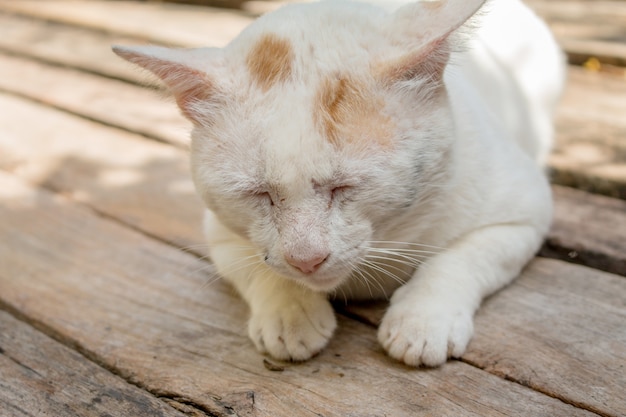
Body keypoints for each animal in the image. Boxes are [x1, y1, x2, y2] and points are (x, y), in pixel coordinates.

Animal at [113, 0, 564, 364]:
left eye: (345, 187)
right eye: (260, 194)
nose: (306, 259)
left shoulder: (525, 213)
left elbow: (458, 259)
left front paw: (422, 321)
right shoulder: (219, 231)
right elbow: (258, 267)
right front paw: (290, 313)